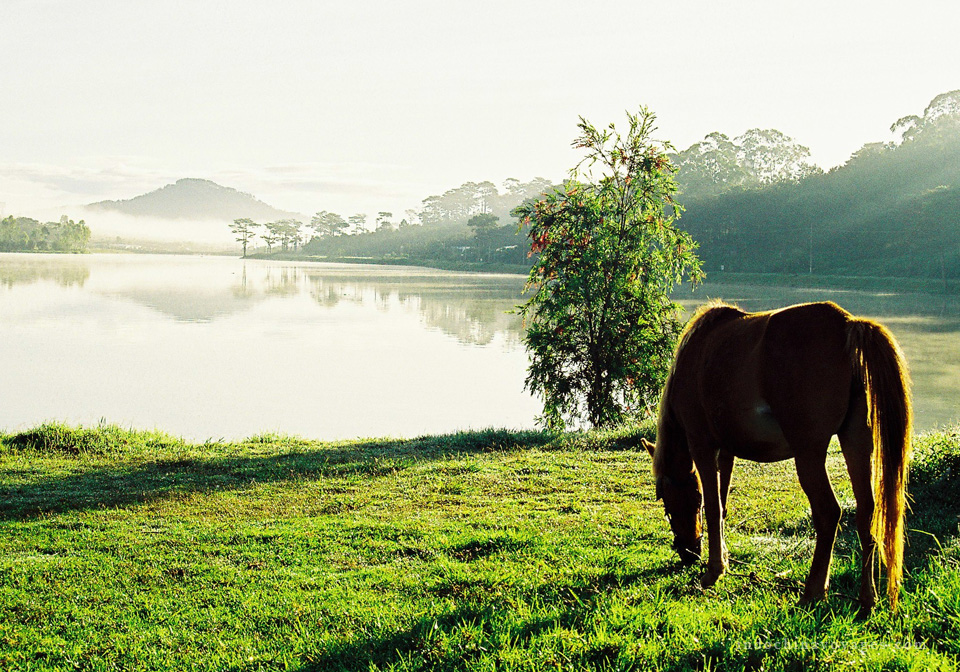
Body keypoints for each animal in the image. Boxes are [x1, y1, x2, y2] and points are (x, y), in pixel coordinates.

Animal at [642, 300, 912, 614]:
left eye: (666, 502)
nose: (689, 553)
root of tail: (847, 323)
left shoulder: (703, 446)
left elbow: (712, 506)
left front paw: (713, 571)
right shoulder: (726, 452)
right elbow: (721, 506)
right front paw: (722, 560)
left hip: (809, 455)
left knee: (828, 513)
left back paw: (813, 591)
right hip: (856, 442)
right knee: (866, 512)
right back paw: (867, 598)